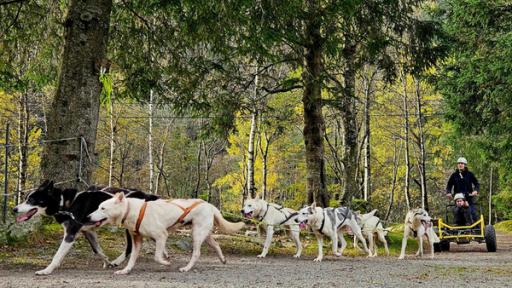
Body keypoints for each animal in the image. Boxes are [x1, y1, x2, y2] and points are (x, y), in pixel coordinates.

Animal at [13, 180, 157, 274]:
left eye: (31, 200)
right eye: (26, 198)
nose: (14, 209)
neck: (64, 204)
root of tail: (145, 195)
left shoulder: (70, 233)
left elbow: (57, 255)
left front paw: (46, 270)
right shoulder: (88, 232)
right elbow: (97, 250)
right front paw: (107, 262)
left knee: (131, 246)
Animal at [87, 192, 244, 274]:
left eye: (102, 208)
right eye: (98, 207)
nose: (88, 217)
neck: (130, 209)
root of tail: (208, 204)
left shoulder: (161, 236)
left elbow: (157, 256)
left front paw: (166, 263)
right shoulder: (137, 241)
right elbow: (132, 259)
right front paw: (125, 270)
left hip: (197, 234)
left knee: (196, 253)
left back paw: (186, 268)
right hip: (205, 235)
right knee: (216, 244)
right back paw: (222, 259)